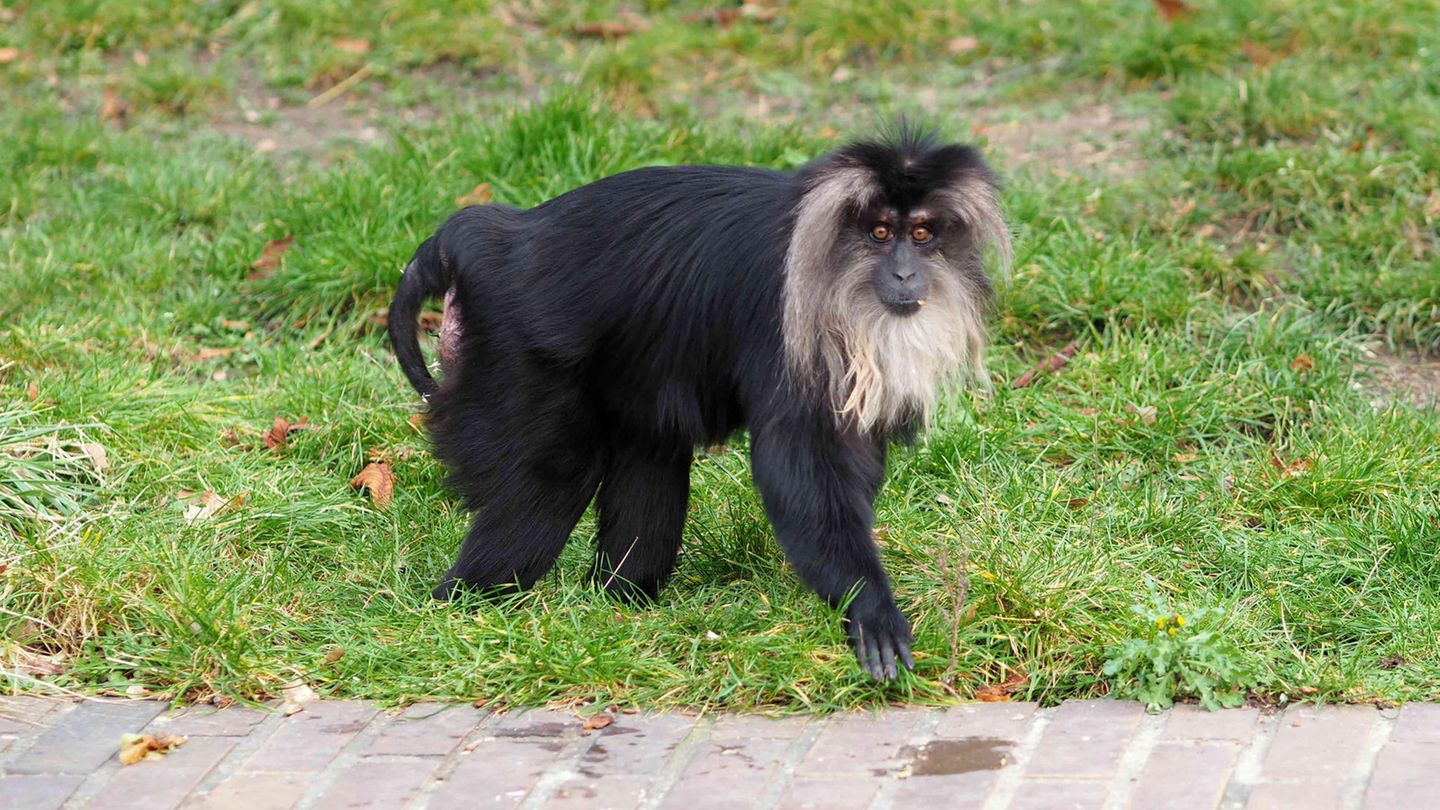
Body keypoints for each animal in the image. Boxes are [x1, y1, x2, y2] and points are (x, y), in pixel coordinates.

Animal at [388, 127, 1008, 680]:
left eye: (922, 234)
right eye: (880, 232)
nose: (905, 273)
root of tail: (492, 236)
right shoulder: (787, 324)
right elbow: (798, 470)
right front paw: (870, 609)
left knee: (650, 454)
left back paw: (616, 604)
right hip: (512, 351)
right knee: (551, 483)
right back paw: (463, 605)